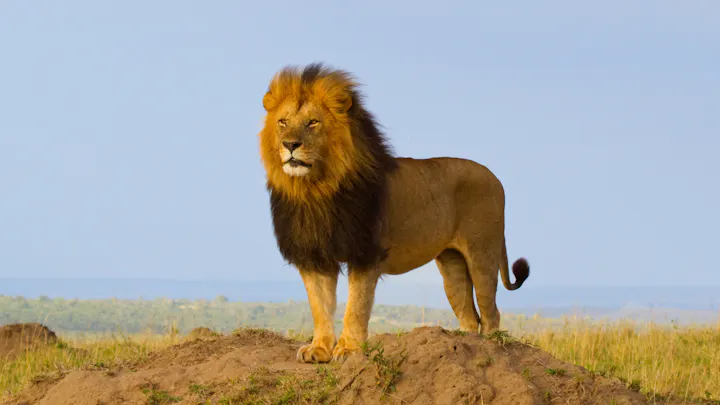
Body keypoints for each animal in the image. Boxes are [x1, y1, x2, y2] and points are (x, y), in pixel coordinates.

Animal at [258, 63, 530, 364]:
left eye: (313, 122)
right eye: (283, 122)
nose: (290, 144)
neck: (315, 190)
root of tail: (495, 177)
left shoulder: (365, 253)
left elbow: (356, 307)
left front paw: (348, 349)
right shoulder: (314, 256)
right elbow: (320, 306)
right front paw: (319, 350)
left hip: (483, 252)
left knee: (491, 313)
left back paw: (491, 352)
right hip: (452, 264)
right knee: (470, 316)